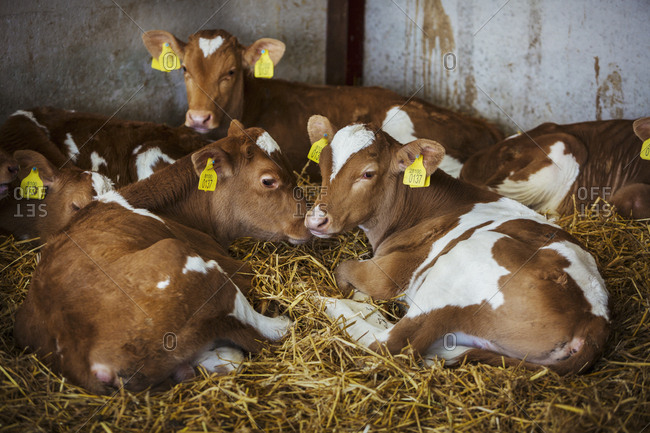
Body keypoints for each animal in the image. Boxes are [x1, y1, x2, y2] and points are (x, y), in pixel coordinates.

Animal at [14, 121, 311, 393]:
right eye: (268, 180)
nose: (309, 221)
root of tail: (85, 359)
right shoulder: (234, 267)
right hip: (186, 261)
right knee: (265, 331)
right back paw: (281, 323)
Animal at [303, 115, 609, 375]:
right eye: (322, 166)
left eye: (367, 173)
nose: (316, 219)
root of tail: (595, 320)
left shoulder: (390, 274)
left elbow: (344, 270)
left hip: (453, 276)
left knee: (390, 344)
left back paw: (324, 300)